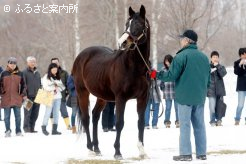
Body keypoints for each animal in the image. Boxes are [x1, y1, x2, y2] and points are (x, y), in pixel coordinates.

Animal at [71, 4, 150, 159]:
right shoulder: (121, 98)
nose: (122, 42)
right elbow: (119, 123)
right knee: (86, 118)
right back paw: (90, 149)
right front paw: (117, 152)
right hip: (82, 92)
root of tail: (81, 56)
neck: (135, 67)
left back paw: (97, 148)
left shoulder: (143, 98)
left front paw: (142, 151)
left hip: (102, 97)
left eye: (138, 24)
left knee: (95, 116)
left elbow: (141, 123)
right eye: (127, 24)